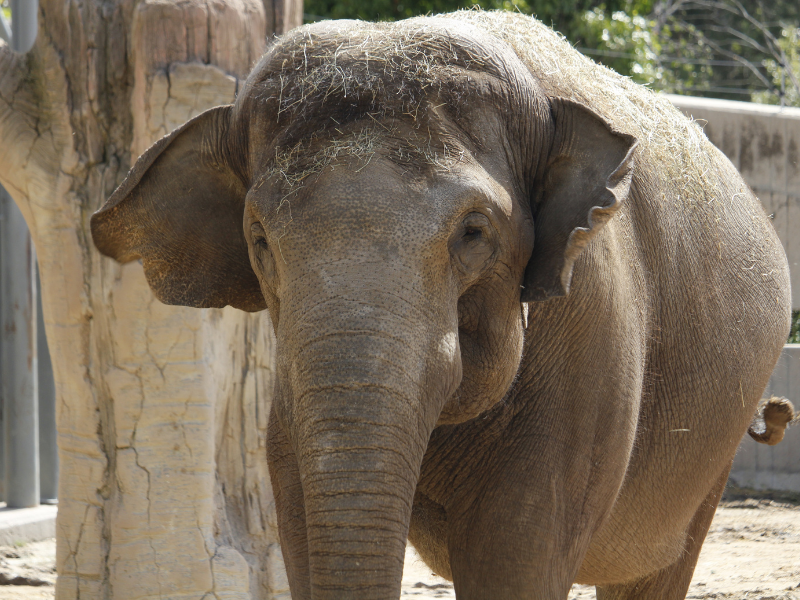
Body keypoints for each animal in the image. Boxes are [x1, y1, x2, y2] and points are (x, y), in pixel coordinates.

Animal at [90, 9, 791, 600]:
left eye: (474, 232)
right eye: (260, 239)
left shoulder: (592, 326)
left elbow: (515, 552)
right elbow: (301, 518)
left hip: (719, 438)